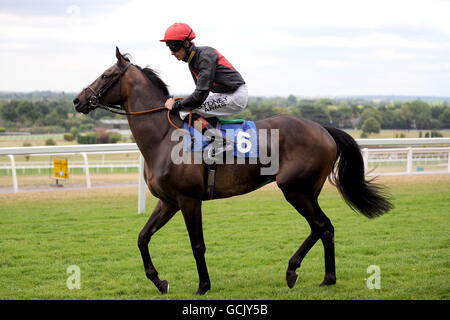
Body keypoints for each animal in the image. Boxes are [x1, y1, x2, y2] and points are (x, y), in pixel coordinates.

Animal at [72, 47, 392, 296]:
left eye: (106, 75)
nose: (77, 100)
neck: (163, 138)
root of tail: (322, 128)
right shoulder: (168, 202)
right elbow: (142, 237)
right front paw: (159, 281)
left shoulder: (189, 200)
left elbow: (197, 245)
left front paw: (203, 286)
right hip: (307, 191)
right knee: (324, 227)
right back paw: (326, 277)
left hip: (295, 189)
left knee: (320, 225)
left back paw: (294, 271)